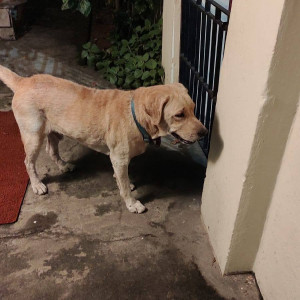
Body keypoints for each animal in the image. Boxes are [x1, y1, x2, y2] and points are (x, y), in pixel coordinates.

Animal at [0, 65, 207, 213]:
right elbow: (124, 187)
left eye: (194, 108)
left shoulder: (119, 159)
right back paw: (36, 184)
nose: (204, 133)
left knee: (52, 151)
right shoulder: (119, 158)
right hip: (33, 136)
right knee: (28, 162)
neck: (136, 115)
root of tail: (23, 81)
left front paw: (123, 181)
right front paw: (132, 203)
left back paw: (63, 165)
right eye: (179, 115)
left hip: (53, 133)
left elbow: (122, 178)